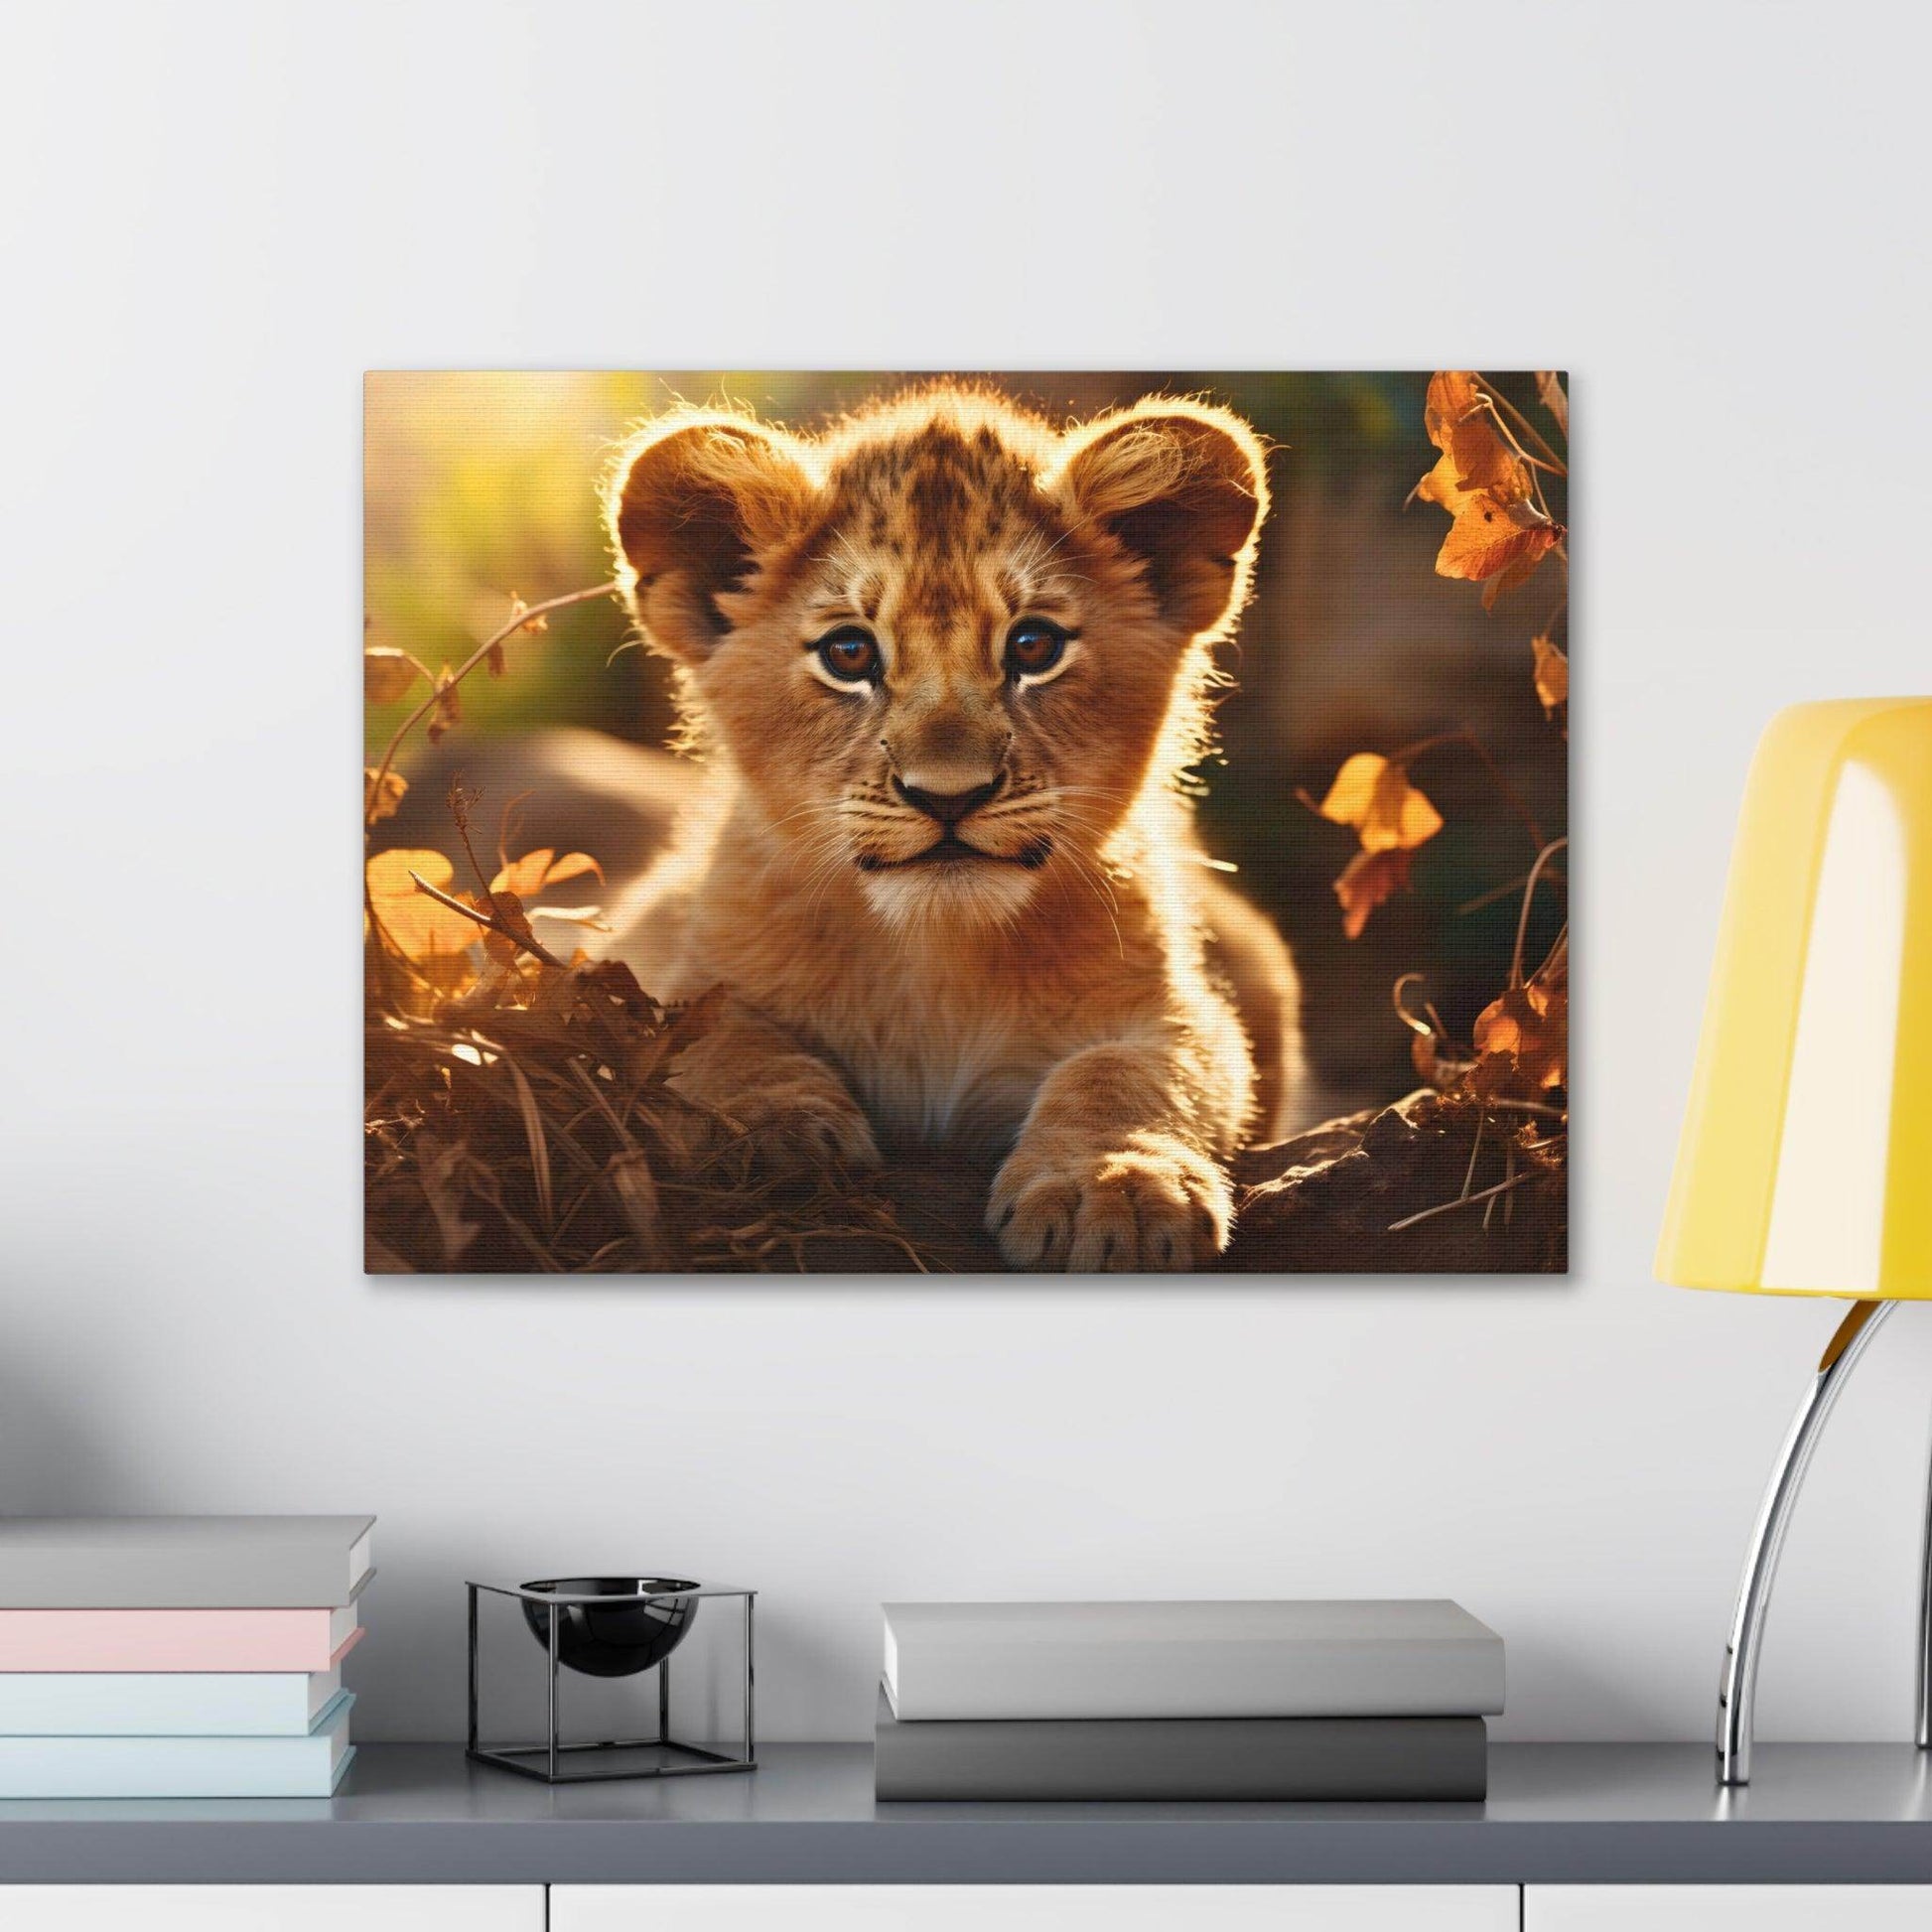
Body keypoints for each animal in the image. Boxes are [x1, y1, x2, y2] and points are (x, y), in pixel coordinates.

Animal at [603, 384, 1304, 1271]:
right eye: (849, 653)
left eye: (1033, 645)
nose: (947, 796)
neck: (935, 959)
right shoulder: (664, 960)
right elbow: (711, 1032)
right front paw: (767, 1129)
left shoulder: (1180, 1009)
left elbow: (1130, 1071)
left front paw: (1114, 1186)